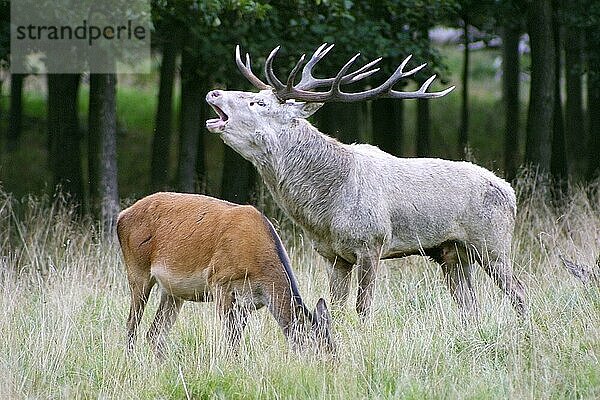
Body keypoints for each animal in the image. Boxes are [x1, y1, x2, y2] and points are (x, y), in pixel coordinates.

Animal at [117, 192, 332, 358]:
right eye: (317, 350)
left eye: (334, 347)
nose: (330, 367)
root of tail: (121, 216)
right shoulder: (219, 280)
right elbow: (230, 338)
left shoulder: (248, 303)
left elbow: (236, 337)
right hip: (137, 270)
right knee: (131, 324)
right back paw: (130, 360)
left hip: (172, 292)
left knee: (155, 333)